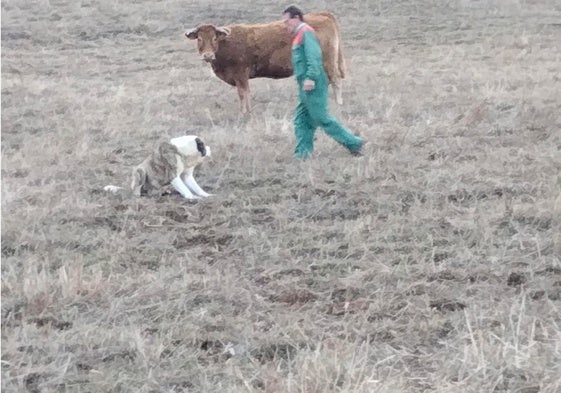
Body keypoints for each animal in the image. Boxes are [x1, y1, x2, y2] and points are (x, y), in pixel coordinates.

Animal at [186, 12, 346, 112]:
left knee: (336, 80)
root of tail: (323, 14)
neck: (227, 42)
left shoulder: (241, 74)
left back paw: (338, 104)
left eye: (214, 38)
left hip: (328, 62)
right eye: (199, 38)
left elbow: (243, 93)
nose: (207, 55)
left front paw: (244, 113)